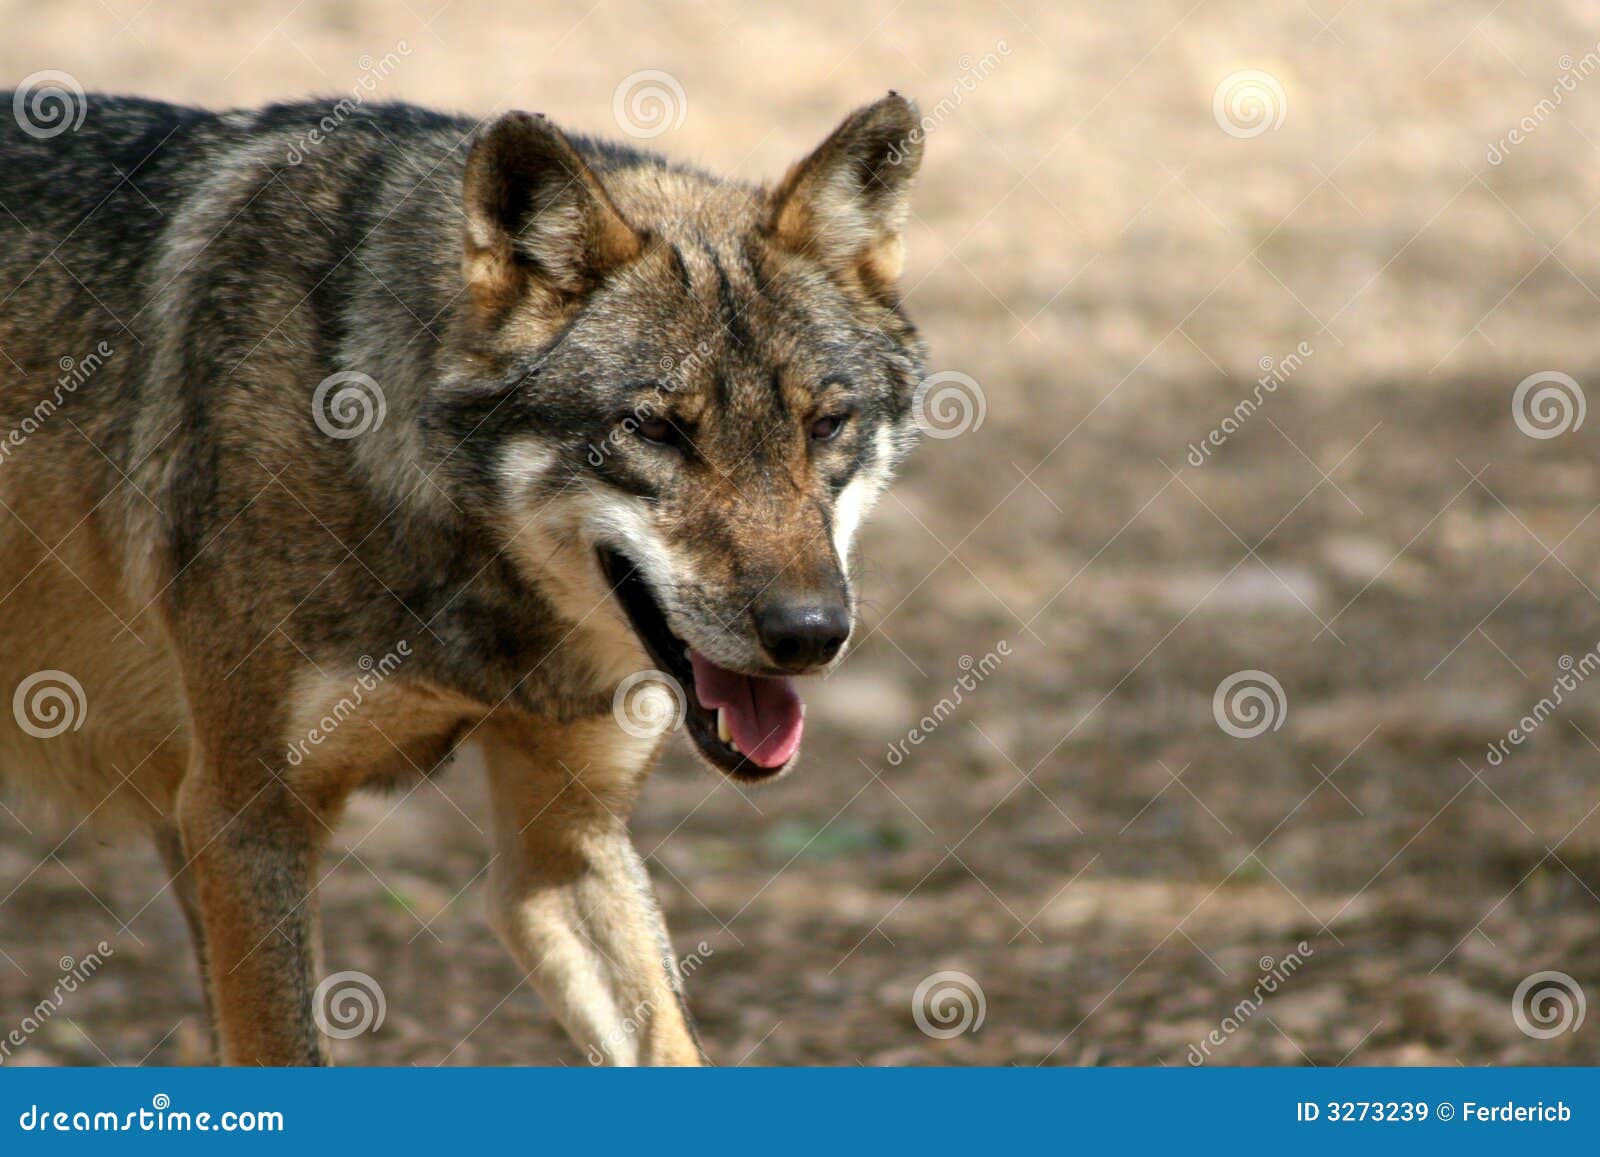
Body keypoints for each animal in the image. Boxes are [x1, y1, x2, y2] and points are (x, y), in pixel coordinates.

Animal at [0, 88, 926, 1065]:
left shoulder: (563, 839)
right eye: (653, 429)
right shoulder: (241, 816)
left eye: (826, 425)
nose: (810, 633)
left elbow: (669, 1041)